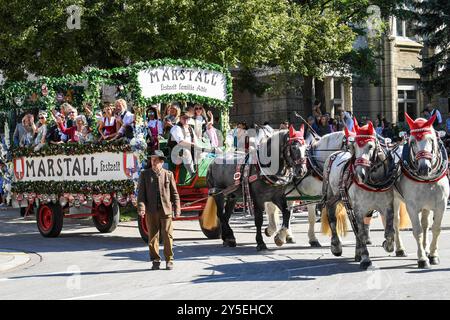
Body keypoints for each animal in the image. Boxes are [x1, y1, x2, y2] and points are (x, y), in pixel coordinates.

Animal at [322, 120, 396, 270]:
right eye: (355, 146)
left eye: (370, 146)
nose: (359, 174)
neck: (374, 183)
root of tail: (335, 154)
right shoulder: (358, 209)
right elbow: (361, 232)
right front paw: (366, 259)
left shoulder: (387, 206)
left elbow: (389, 231)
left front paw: (387, 244)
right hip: (332, 196)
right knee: (332, 217)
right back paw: (336, 246)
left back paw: (357, 251)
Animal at [392, 114, 448, 268]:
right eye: (412, 142)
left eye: (431, 139)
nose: (424, 168)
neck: (426, 179)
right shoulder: (411, 206)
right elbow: (417, 231)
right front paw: (422, 258)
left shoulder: (441, 204)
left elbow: (435, 228)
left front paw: (433, 255)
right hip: (394, 199)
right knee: (395, 222)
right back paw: (400, 249)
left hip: (426, 204)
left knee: (425, 224)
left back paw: (426, 248)